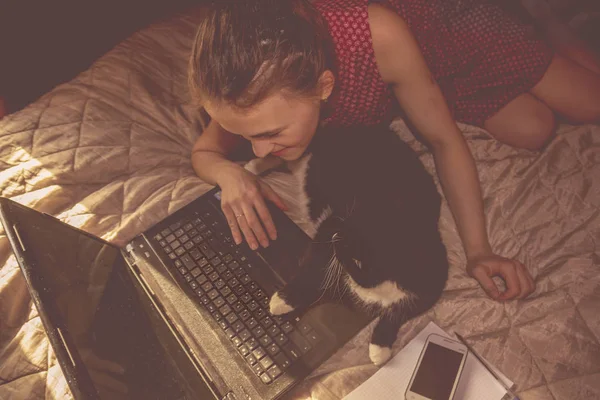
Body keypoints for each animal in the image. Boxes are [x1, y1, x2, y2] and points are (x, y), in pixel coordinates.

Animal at [246, 124, 448, 366]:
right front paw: (282, 301)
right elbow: (313, 271)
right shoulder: (330, 223)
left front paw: (380, 348)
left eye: (350, 249)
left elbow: (397, 313)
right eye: (348, 224)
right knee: (289, 152)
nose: (335, 235)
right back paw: (252, 167)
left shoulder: (429, 288)